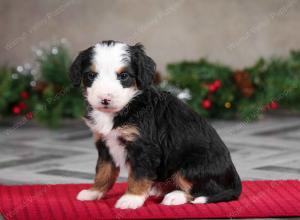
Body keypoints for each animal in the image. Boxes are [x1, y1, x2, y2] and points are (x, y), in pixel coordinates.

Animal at [68, 40, 241, 210]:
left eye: (124, 76)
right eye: (91, 75)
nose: (105, 99)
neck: (127, 107)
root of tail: (234, 175)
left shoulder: (144, 148)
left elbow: (138, 175)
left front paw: (131, 199)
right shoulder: (105, 145)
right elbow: (103, 171)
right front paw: (93, 192)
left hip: (191, 166)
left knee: (204, 190)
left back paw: (174, 196)